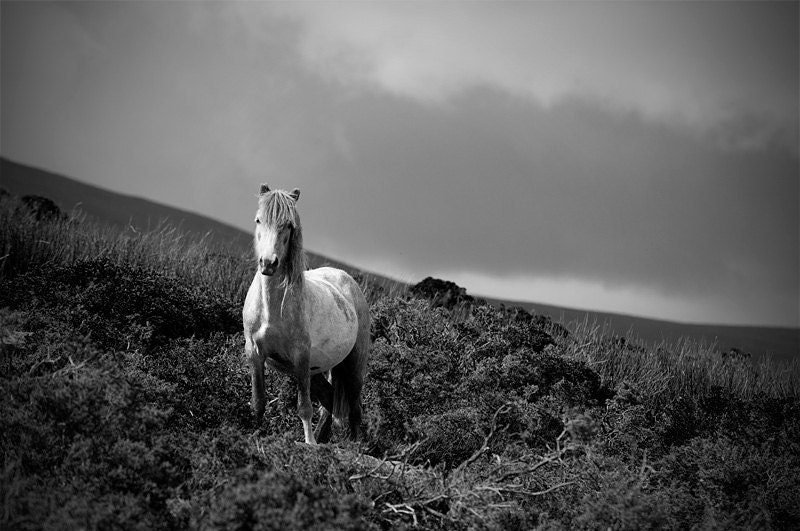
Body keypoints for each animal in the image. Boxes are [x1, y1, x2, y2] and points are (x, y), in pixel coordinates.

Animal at [242, 184, 370, 444]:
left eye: (289, 225)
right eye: (259, 220)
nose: (268, 263)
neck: (273, 308)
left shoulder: (301, 357)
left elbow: (304, 407)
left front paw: (308, 444)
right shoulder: (254, 353)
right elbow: (258, 401)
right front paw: (254, 435)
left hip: (353, 365)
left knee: (354, 409)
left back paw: (352, 445)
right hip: (317, 371)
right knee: (330, 403)